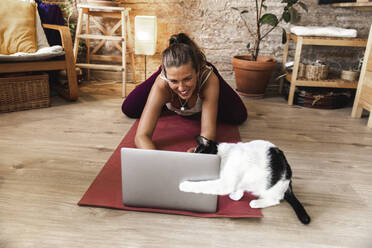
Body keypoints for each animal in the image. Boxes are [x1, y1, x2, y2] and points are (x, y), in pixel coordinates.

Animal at [180, 136, 310, 225]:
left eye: (199, 153)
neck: (225, 156)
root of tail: (288, 181)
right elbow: (238, 188)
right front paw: (236, 196)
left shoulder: (225, 184)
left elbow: (203, 185)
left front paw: (183, 185)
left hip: (269, 189)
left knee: (275, 200)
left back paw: (256, 203)